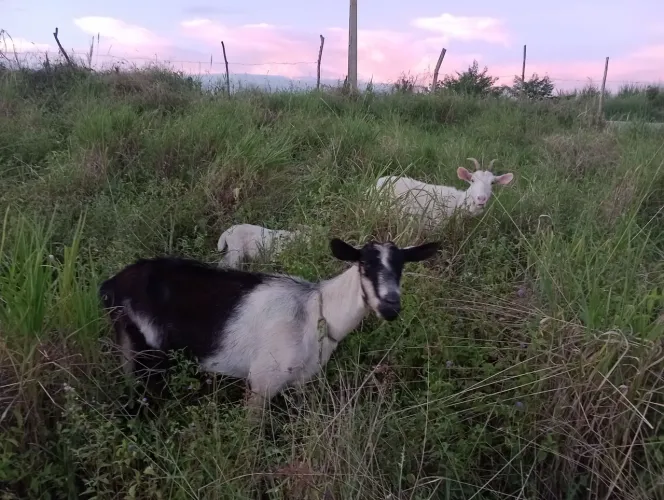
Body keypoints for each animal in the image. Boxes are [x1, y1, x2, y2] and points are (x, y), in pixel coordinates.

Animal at [99, 237, 441, 412]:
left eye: (401, 267)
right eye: (364, 265)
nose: (390, 306)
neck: (315, 311)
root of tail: (112, 285)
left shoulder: (298, 384)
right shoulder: (263, 382)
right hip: (141, 352)